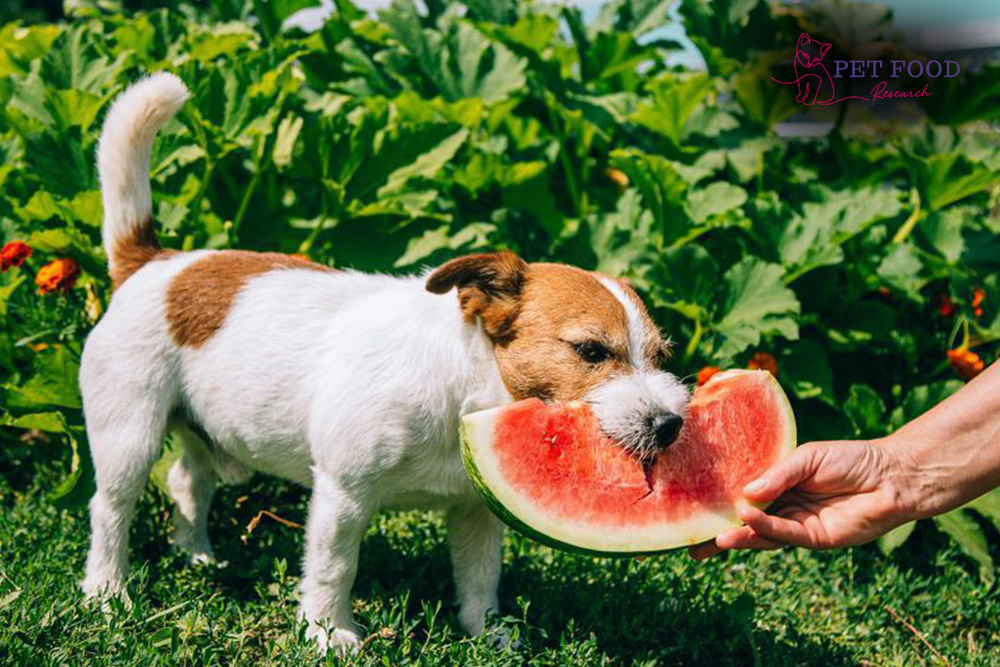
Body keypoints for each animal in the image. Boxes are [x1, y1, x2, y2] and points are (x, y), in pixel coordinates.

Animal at [80, 73, 688, 652]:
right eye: (591, 351)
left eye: (661, 355)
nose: (670, 424)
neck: (463, 391)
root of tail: (151, 261)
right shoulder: (343, 495)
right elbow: (334, 567)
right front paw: (328, 633)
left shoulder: (476, 512)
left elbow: (480, 578)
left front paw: (488, 632)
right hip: (129, 433)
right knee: (110, 507)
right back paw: (108, 591)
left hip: (204, 428)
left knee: (188, 480)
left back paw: (196, 553)